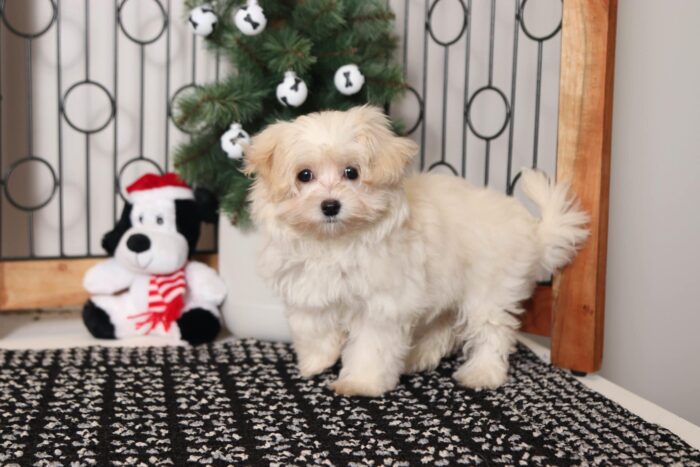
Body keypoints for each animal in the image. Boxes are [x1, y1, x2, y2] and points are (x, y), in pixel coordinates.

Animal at [243, 107, 588, 398]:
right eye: (304, 175)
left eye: (352, 172)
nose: (330, 206)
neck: (335, 242)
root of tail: (532, 230)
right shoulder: (307, 288)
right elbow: (312, 327)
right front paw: (317, 361)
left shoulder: (382, 304)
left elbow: (370, 345)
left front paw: (360, 382)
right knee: (444, 326)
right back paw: (417, 356)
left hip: (489, 288)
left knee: (492, 330)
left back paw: (482, 372)